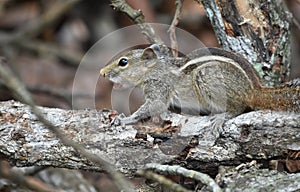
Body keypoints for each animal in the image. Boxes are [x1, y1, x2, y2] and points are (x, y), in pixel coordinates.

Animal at [100, 44, 300, 124]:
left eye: (123, 62)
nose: (102, 73)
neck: (154, 69)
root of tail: (255, 90)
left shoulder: (158, 88)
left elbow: (154, 106)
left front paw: (125, 119)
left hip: (206, 77)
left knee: (239, 108)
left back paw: (221, 117)